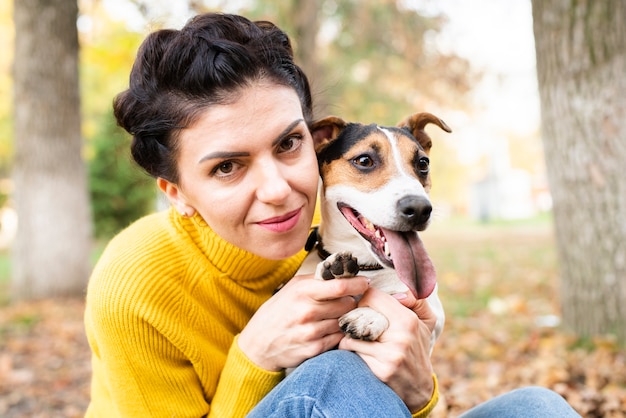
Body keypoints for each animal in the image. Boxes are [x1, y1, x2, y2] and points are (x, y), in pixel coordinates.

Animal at [298, 112, 448, 352]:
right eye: (364, 160)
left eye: (423, 163)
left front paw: (369, 315)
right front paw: (332, 273)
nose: (419, 209)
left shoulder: (434, 316)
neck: (368, 267)